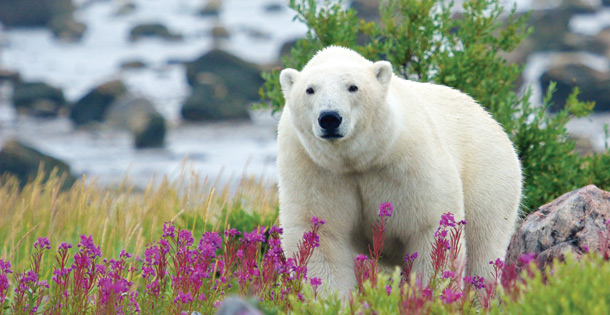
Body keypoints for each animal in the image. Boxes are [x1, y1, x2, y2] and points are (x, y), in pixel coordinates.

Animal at [276, 46, 516, 296]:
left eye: (353, 87)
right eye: (309, 90)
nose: (330, 118)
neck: (357, 160)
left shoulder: (409, 160)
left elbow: (430, 227)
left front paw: (431, 292)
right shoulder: (314, 169)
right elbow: (321, 235)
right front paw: (330, 299)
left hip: (487, 173)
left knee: (484, 244)